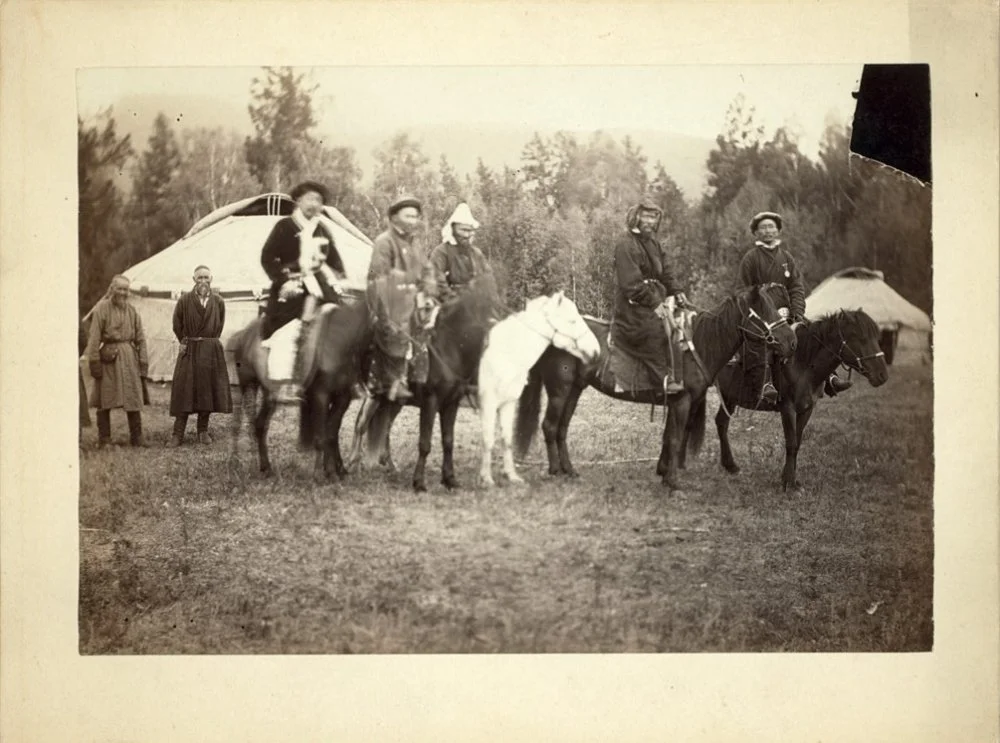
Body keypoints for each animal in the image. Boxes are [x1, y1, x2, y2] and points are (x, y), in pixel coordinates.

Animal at [478, 290, 600, 488]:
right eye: (572, 321)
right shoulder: (488, 402)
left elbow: (505, 438)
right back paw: (556, 469)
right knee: (550, 426)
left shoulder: (506, 403)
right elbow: (488, 439)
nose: (596, 351)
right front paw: (487, 479)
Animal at [516, 282, 796, 492]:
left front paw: (663, 472)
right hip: (559, 389)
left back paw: (569, 470)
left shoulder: (676, 402)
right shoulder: (682, 401)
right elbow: (675, 437)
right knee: (550, 425)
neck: (699, 344)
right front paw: (672, 481)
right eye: (764, 311)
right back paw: (555, 471)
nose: (791, 341)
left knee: (562, 427)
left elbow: (668, 436)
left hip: (575, 389)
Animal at [720, 306, 892, 492]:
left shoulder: (807, 408)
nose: (882, 376)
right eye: (859, 337)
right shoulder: (787, 408)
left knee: (721, 423)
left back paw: (730, 466)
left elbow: (797, 442)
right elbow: (791, 442)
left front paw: (791, 479)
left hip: (728, 397)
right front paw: (789, 482)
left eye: (876, 337)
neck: (801, 364)